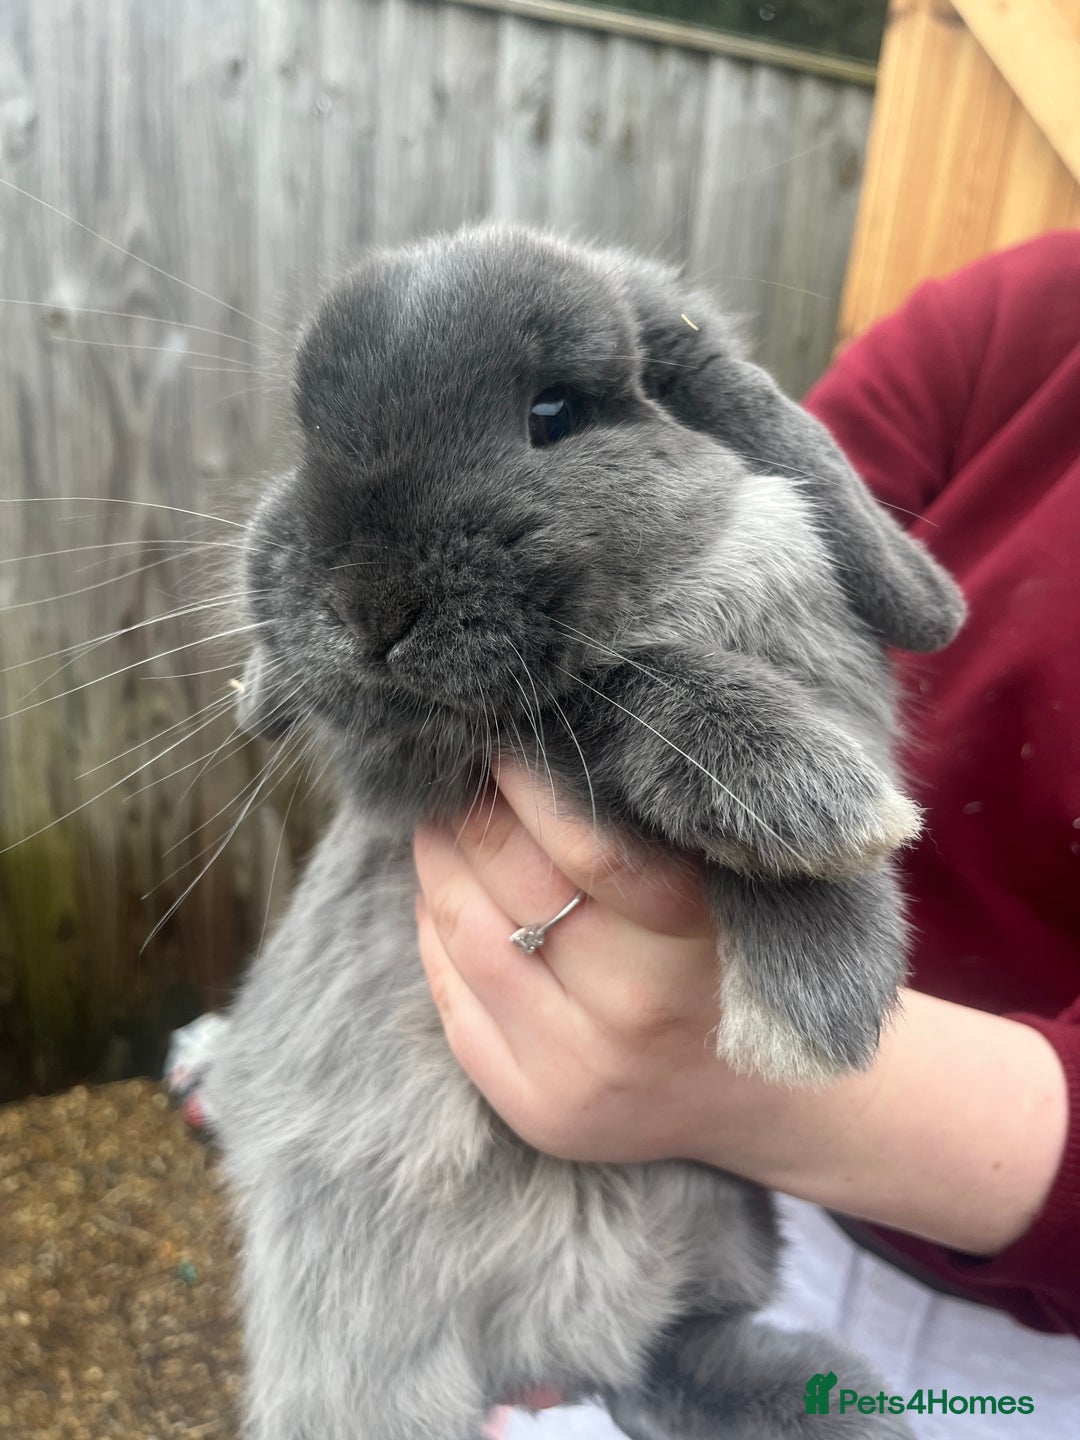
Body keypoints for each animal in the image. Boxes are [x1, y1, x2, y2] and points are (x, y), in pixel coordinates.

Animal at [206, 223, 964, 1440]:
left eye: (553, 413)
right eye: (307, 438)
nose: (368, 610)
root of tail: (571, 1349)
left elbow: (624, 690)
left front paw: (820, 974)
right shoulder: (431, 762)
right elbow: (608, 697)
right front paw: (812, 821)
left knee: (679, 1357)